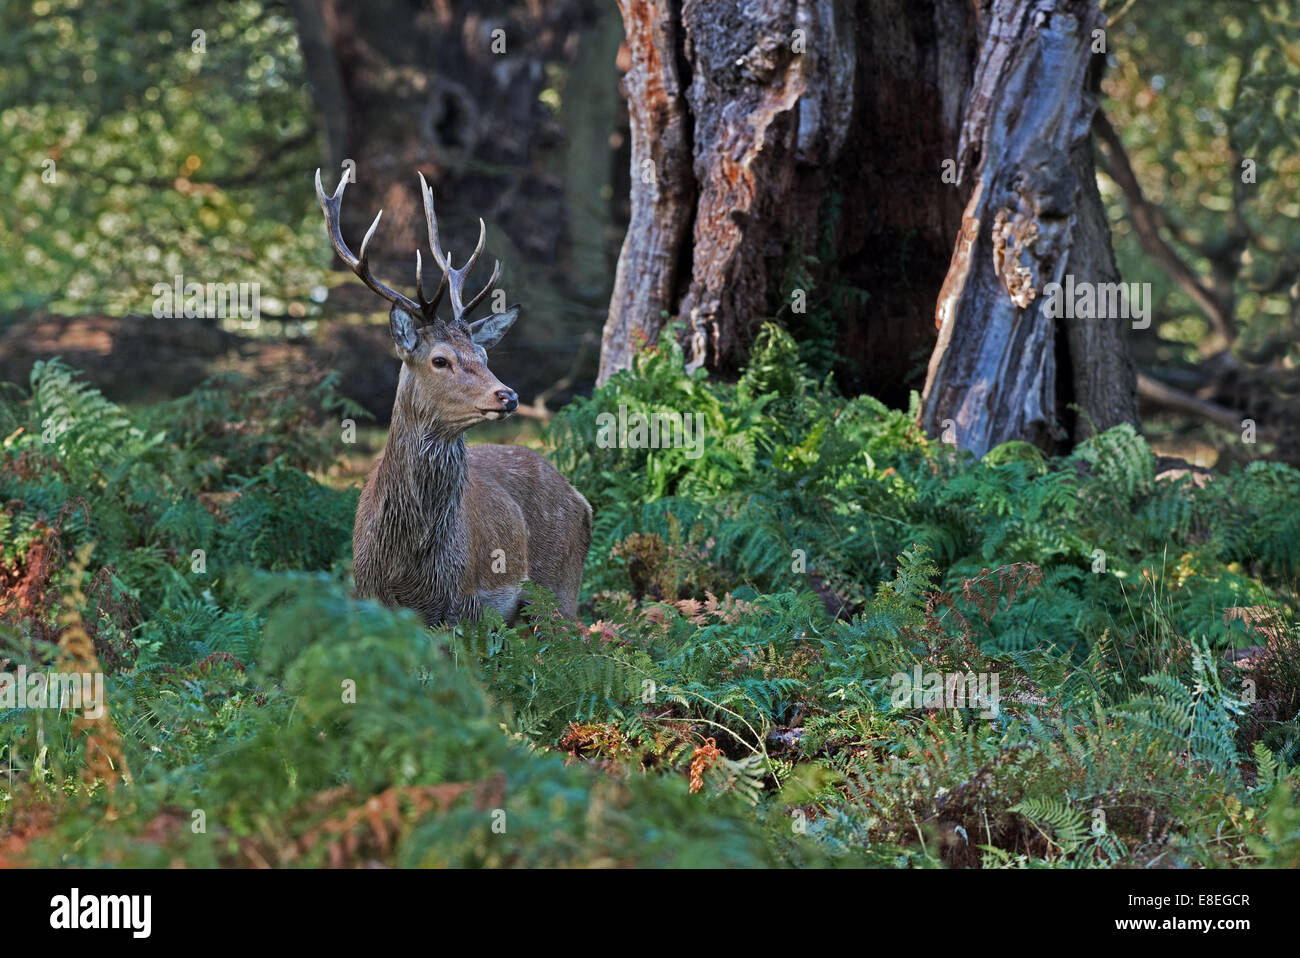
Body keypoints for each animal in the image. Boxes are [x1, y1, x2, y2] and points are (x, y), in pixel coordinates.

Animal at [315, 169, 591, 626]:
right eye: (440, 360)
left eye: (484, 355)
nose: (507, 395)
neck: (407, 562)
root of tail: (580, 497)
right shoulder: (370, 596)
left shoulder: (463, 604)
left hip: (560, 588)